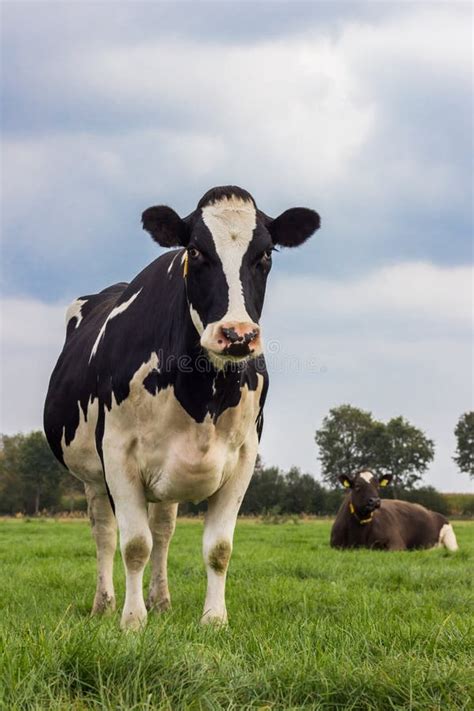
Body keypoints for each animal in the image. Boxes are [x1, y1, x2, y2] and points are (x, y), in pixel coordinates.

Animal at [43, 185, 322, 628]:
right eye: (195, 250)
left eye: (265, 253)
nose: (237, 334)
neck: (202, 394)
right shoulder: (118, 453)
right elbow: (133, 544)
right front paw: (132, 621)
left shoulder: (244, 456)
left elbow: (218, 548)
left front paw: (214, 619)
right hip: (92, 474)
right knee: (105, 533)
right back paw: (104, 604)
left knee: (163, 530)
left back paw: (161, 600)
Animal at [330, 470, 460, 552]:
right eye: (357, 486)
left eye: (378, 486)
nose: (375, 501)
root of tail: (432, 512)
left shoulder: (397, 544)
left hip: (450, 539)